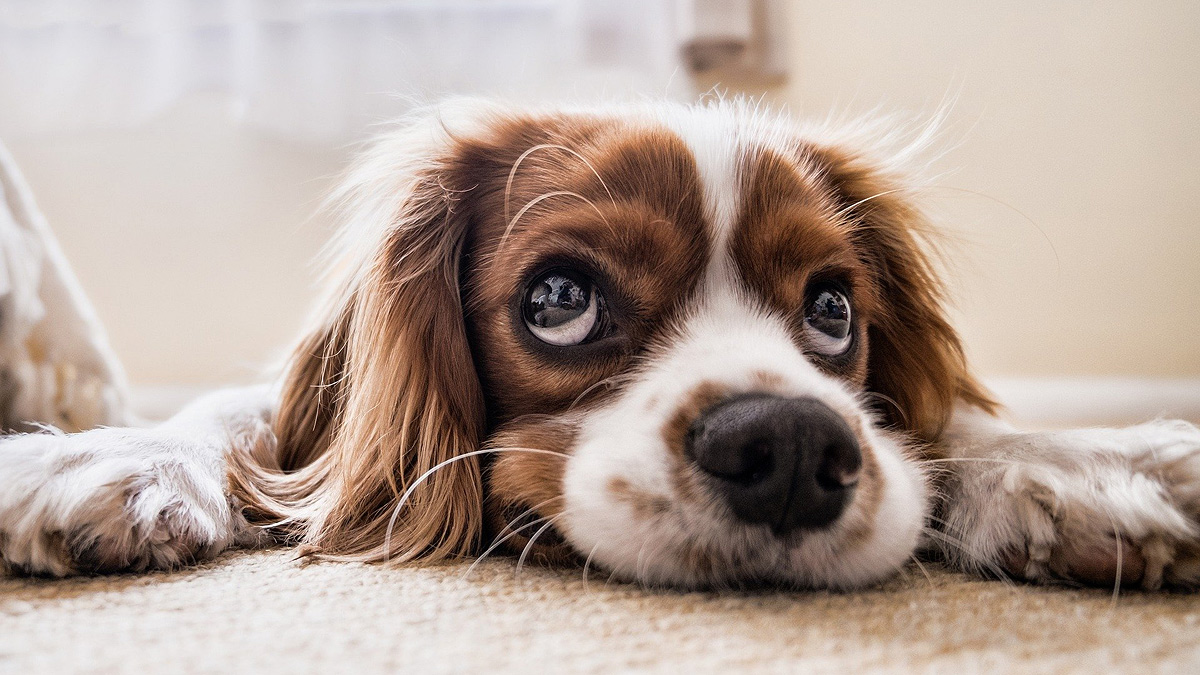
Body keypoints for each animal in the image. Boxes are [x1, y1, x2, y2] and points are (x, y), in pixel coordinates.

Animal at [2, 97, 1200, 586]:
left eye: (833, 311)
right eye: (560, 299)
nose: (791, 447)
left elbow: (949, 427)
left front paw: (1085, 465)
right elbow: (238, 417)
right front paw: (106, 457)